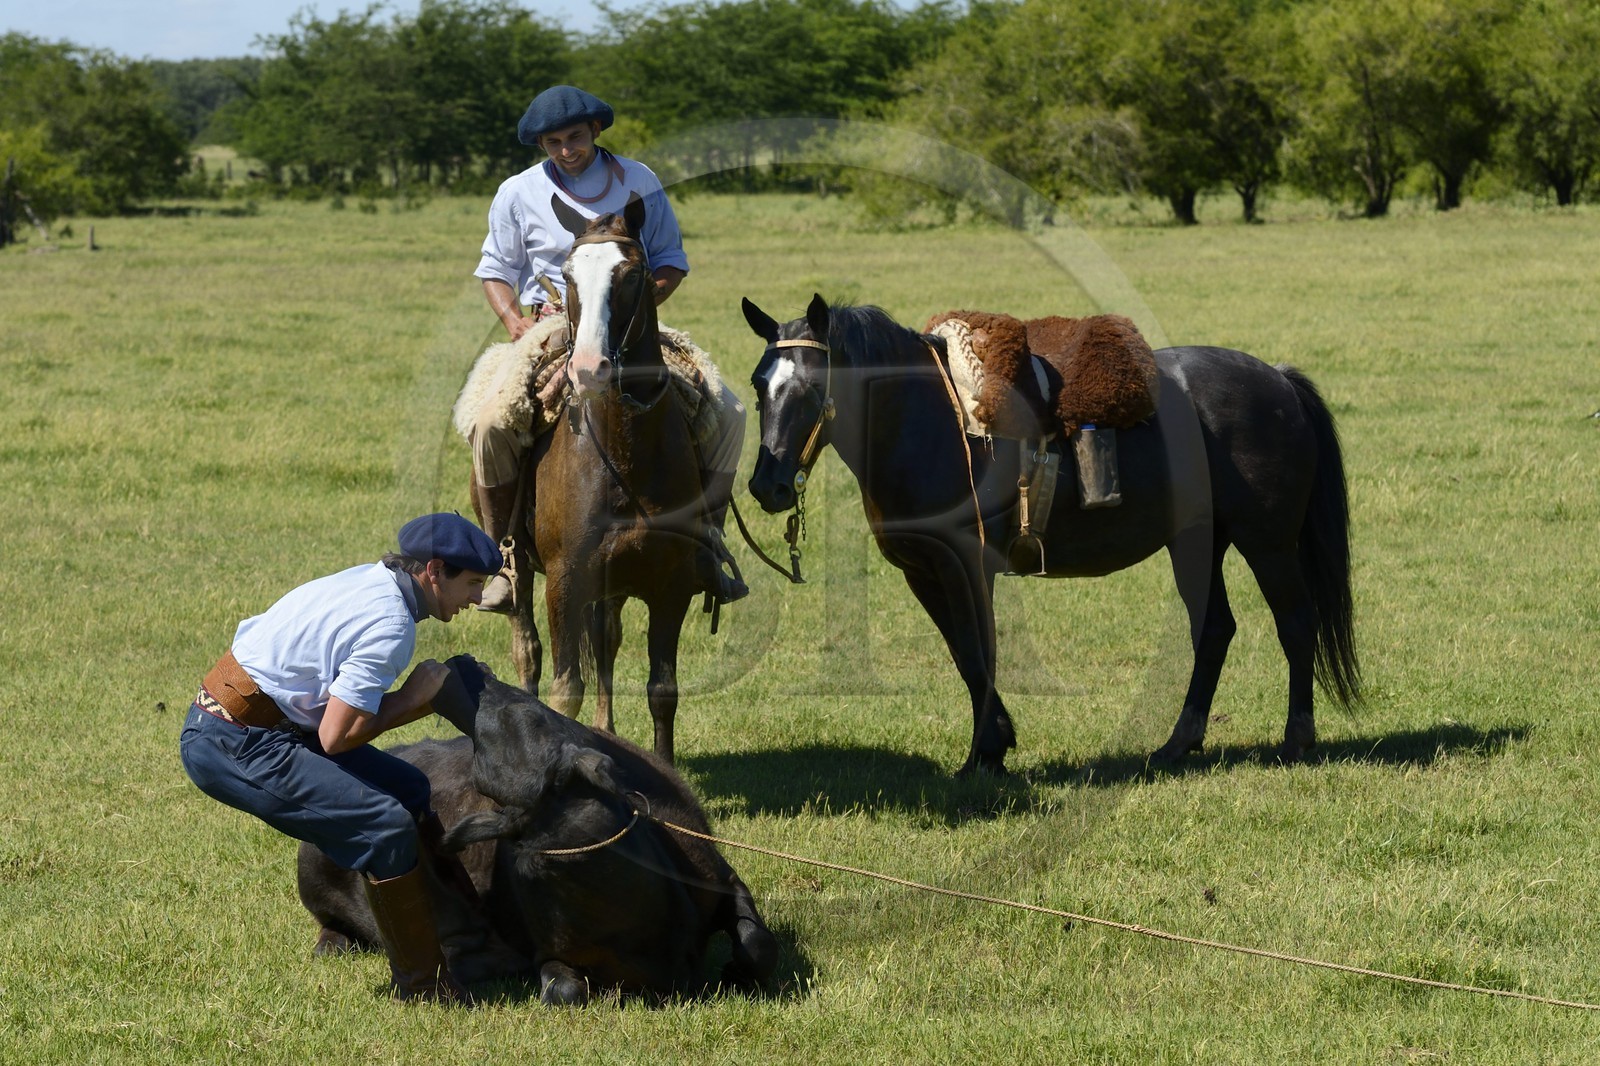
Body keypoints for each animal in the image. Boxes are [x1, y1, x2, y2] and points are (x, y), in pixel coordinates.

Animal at [296, 655, 778, 1004]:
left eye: (526, 711)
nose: (466, 664)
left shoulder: (720, 876)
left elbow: (758, 943)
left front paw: (738, 970)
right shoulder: (550, 955)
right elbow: (564, 990)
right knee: (329, 921)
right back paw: (332, 943)